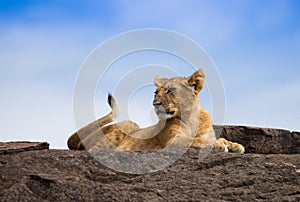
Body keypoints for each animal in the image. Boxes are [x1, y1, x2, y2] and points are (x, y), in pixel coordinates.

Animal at [67, 69, 245, 153]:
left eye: (171, 90)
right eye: (155, 92)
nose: (155, 103)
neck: (190, 117)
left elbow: (217, 138)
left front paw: (235, 145)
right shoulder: (172, 141)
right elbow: (198, 140)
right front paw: (220, 145)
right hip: (126, 125)